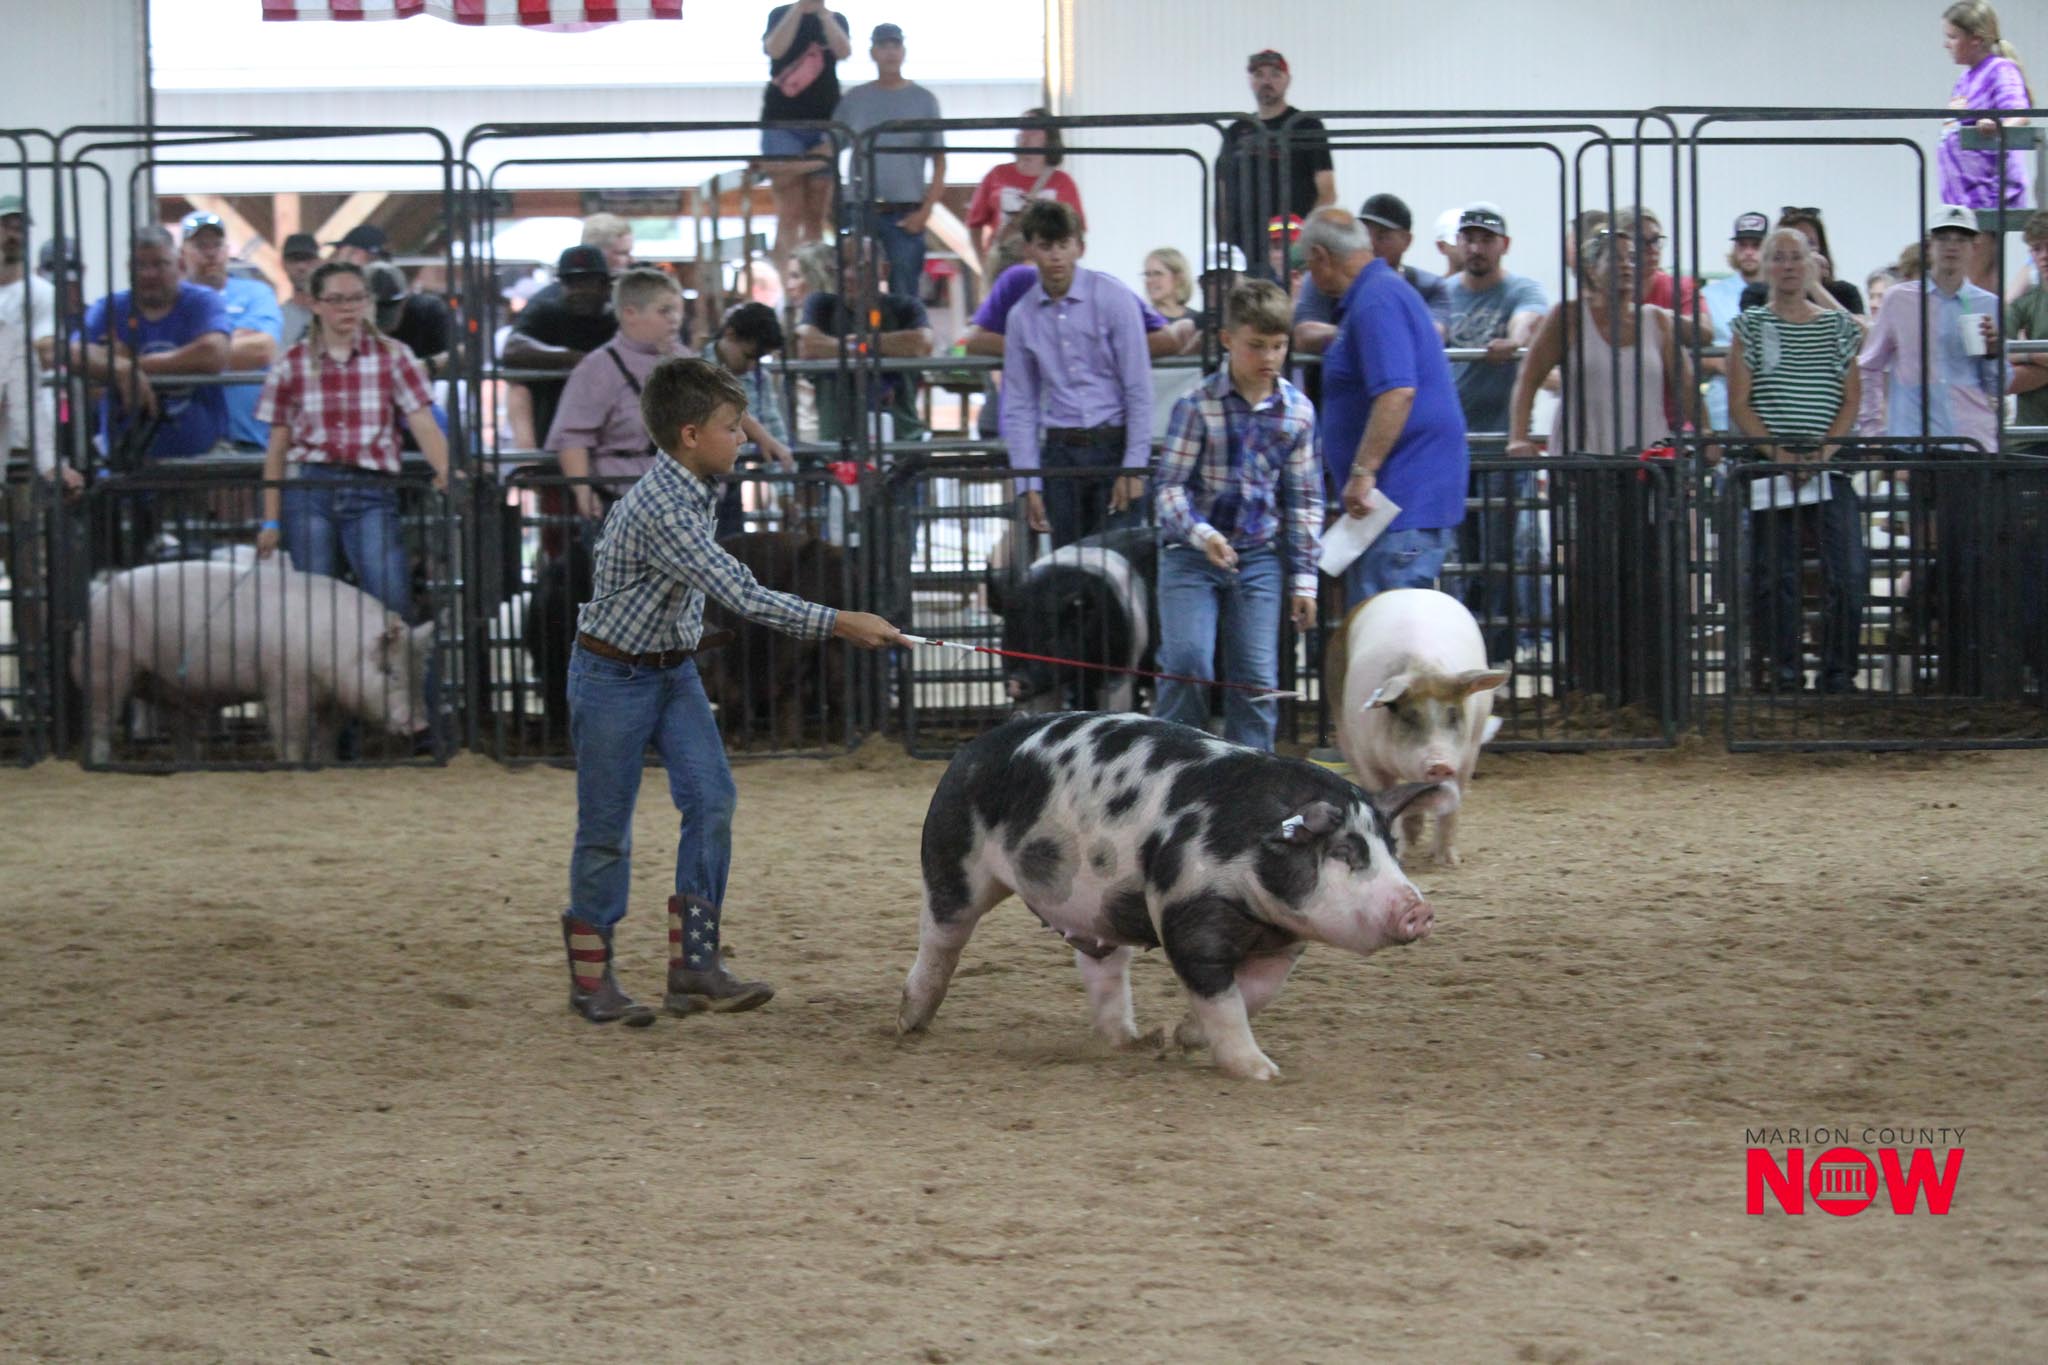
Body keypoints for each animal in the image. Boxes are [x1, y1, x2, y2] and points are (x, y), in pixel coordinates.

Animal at [76, 554, 434, 766]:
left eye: (420, 671)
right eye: (390, 672)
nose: (421, 724)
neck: (337, 645)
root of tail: (95, 597)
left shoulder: (335, 700)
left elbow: (327, 735)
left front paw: (328, 762)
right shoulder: (284, 683)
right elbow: (290, 731)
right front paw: (293, 764)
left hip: (170, 689)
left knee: (181, 731)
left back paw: (191, 765)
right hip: (106, 668)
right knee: (100, 722)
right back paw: (102, 763)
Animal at [897, 712, 1441, 1081]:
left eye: (1392, 850)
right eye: (1346, 851)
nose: (1420, 909)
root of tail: (973, 748)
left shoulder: (1282, 943)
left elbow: (1255, 993)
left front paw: (1180, 1038)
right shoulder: (1185, 913)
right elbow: (1221, 998)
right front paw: (1263, 1072)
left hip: (1098, 905)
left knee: (1103, 967)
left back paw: (1131, 1041)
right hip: (952, 858)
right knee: (941, 938)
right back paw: (907, 1025)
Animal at [1327, 588, 1510, 868]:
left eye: (1453, 714)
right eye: (1409, 717)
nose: (1439, 763)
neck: (1423, 670)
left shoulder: (1467, 755)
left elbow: (1451, 807)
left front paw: (1449, 862)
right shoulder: (1366, 757)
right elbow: (1384, 799)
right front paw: (1398, 855)